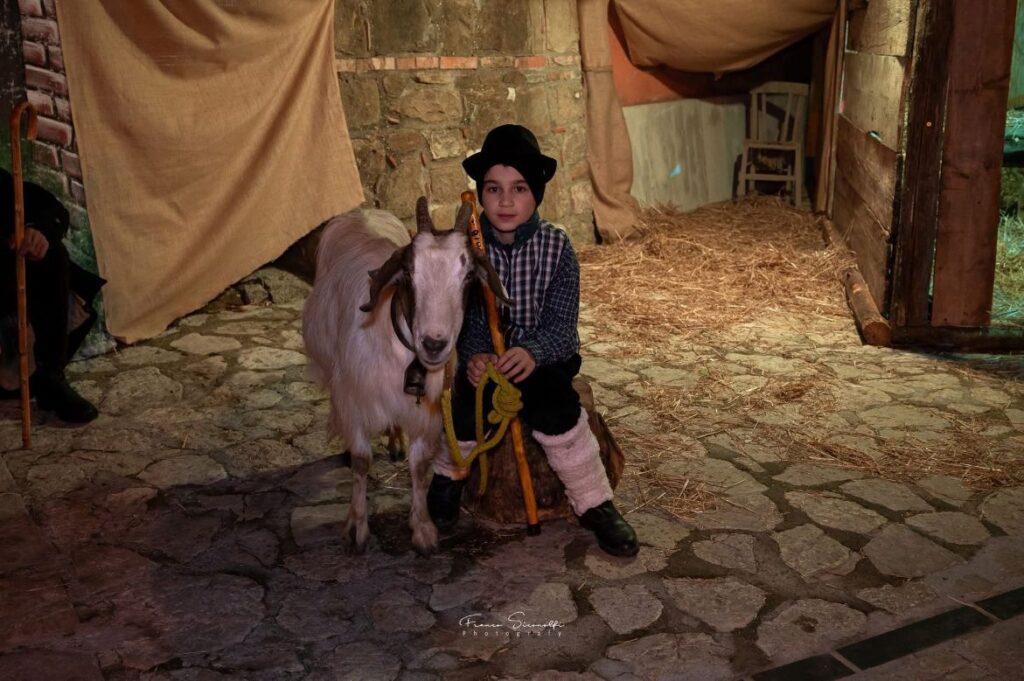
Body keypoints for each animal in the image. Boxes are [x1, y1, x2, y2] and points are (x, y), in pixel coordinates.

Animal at [303, 195, 512, 552]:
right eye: (408, 273)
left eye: (469, 276)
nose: (433, 344)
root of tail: (362, 214)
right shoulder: (355, 400)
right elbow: (361, 460)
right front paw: (357, 527)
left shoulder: (426, 411)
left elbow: (419, 465)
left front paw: (423, 529)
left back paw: (396, 443)